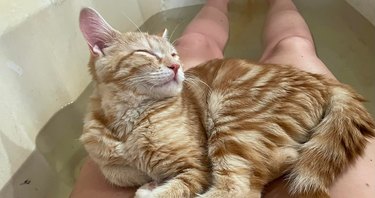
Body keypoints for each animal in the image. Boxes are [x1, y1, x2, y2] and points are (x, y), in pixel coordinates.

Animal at [79, 7, 375, 198]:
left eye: (174, 54)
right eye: (146, 53)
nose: (176, 66)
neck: (128, 122)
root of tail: (325, 81)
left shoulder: (196, 166)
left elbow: (178, 186)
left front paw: (152, 189)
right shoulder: (111, 165)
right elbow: (119, 173)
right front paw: (148, 181)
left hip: (232, 120)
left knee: (238, 188)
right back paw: (286, 157)